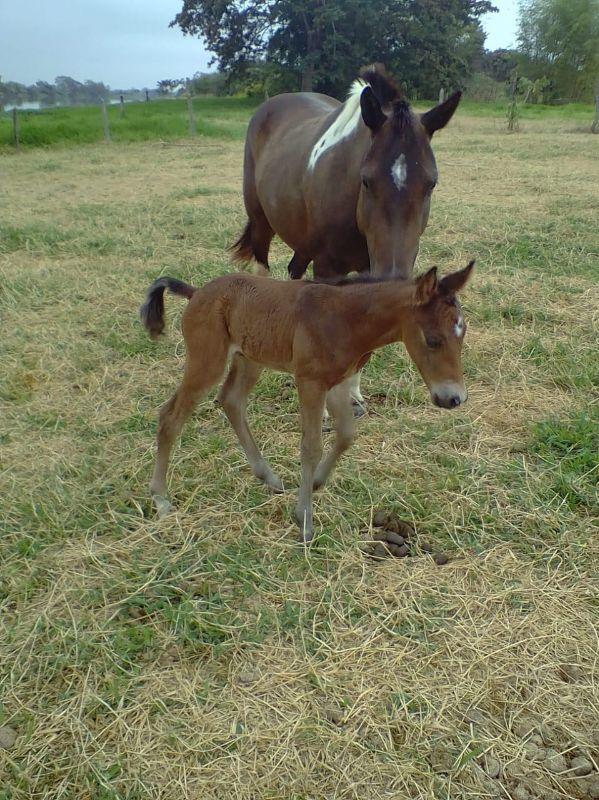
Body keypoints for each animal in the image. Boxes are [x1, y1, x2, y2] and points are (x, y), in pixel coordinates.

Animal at [139, 264, 474, 544]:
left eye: (463, 334)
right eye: (433, 340)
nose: (453, 398)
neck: (346, 318)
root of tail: (196, 292)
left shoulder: (337, 382)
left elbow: (346, 435)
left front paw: (315, 483)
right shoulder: (310, 382)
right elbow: (311, 446)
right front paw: (304, 519)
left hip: (250, 358)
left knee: (231, 400)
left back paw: (268, 476)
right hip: (208, 359)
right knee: (171, 415)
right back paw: (161, 499)